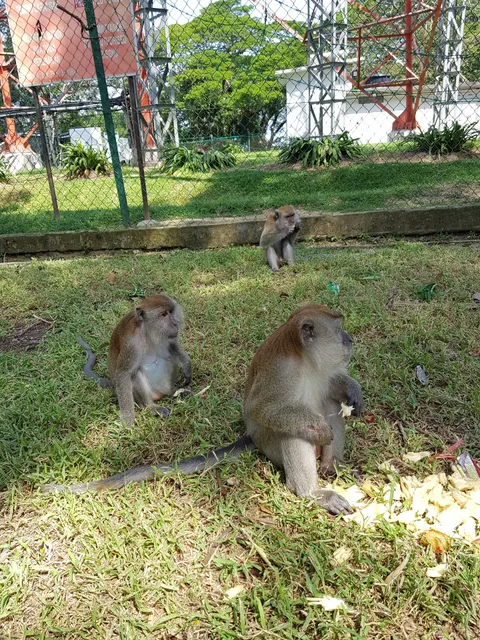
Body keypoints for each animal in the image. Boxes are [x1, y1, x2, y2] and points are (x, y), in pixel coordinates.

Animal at [77, 294, 192, 426]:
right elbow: (123, 373)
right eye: (164, 314)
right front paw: (128, 423)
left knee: (171, 358)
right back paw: (151, 407)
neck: (148, 332)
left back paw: (174, 392)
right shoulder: (132, 343)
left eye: (171, 312)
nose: (175, 323)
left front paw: (187, 365)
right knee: (135, 374)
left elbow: (173, 346)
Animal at [243, 304, 364, 515]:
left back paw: (332, 465)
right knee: (294, 429)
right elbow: (261, 410)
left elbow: (332, 386)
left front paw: (352, 389)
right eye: (338, 329)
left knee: (331, 402)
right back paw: (311, 493)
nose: (349, 339)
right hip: (269, 446)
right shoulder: (281, 372)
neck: (304, 360)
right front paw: (319, 427)